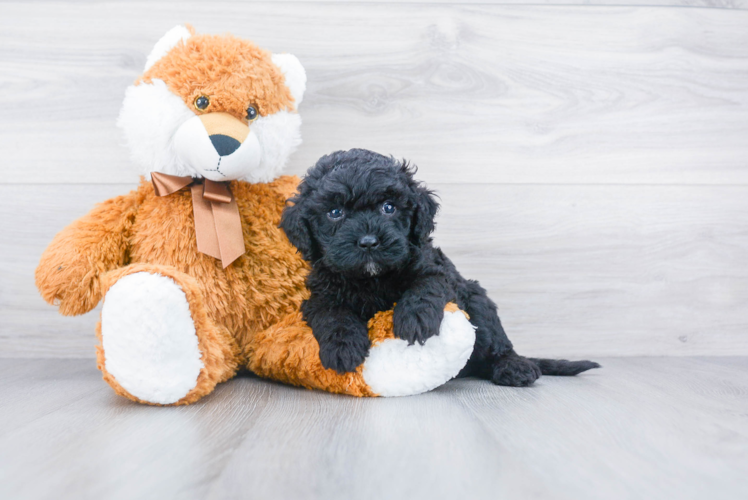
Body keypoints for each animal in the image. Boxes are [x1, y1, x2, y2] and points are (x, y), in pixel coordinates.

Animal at [282, 149, 600, 386]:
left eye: (389, 207)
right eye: (335, 213)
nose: (369, 242)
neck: (371, 278)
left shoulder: (436, 269)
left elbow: (426, 285)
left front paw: (415, 319)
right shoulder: (320, 293)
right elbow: (333, 314)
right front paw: (343, 347)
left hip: (478, 301)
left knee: (497, 344)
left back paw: (514, 367)